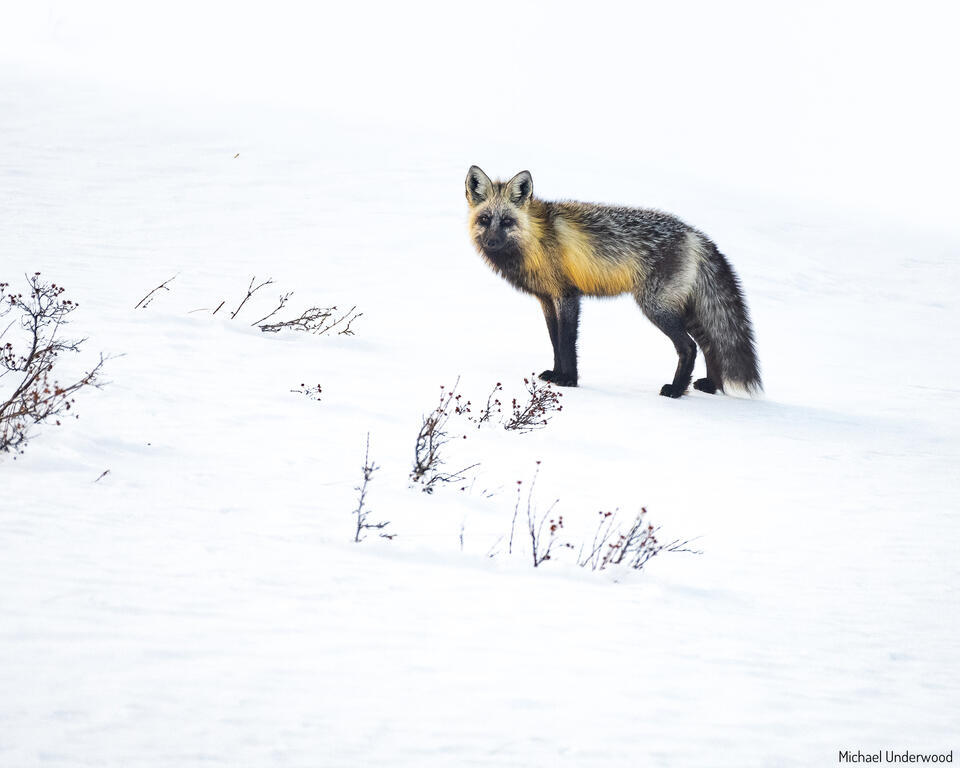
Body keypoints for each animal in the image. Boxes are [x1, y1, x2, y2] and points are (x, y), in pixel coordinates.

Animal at [464, 166, 762, 398]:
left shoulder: (568, 295)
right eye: (485, 219)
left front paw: (569, 380)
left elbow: (567, 341)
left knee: (689, 347)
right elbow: (554, 341)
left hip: (656, 307)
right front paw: (556, 374)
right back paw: (710, 386)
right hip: (682, 309)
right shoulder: (546, 299)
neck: (535, 240)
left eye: (507, 221)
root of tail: (695, 234)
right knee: (710, 343)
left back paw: (676, 390)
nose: (491, 242)